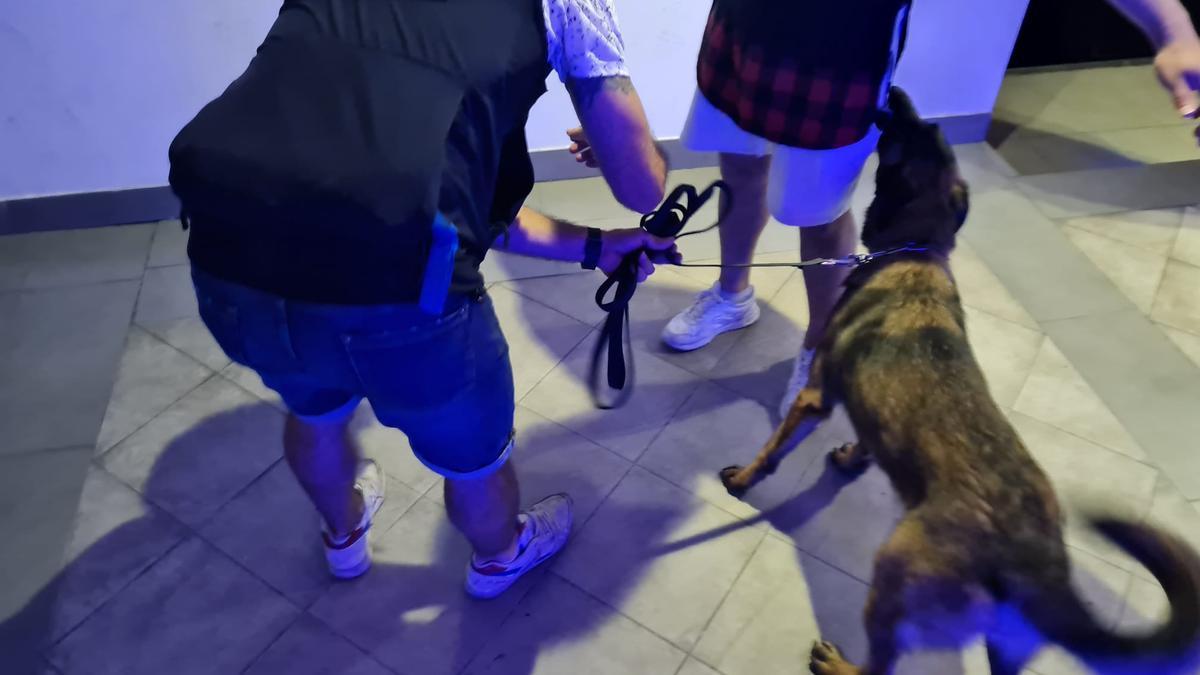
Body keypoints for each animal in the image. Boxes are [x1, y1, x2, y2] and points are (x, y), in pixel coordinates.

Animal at [715, 86, 1200, 667]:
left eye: (914, 130)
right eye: (934, 132)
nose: (893, 90)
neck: (915, 250)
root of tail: (1037, 561)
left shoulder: (815, 396)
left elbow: (773, 450)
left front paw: (744, 479)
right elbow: (869, 438)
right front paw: (854, 457)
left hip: (893, 571)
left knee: (883, 663)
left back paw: (839, 665)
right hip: (1003, 646)